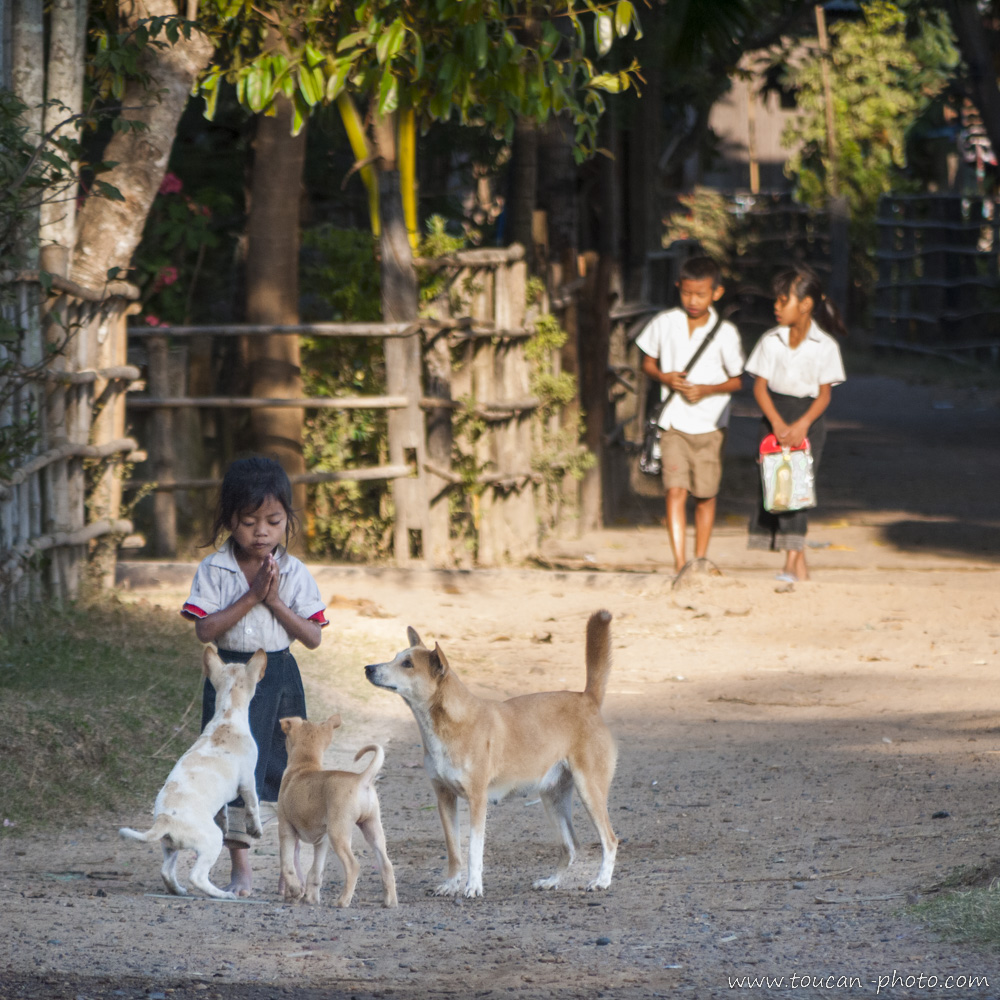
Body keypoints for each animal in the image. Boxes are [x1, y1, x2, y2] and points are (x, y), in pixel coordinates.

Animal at [119, 644, 268, 904]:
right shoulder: (248, 781)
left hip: (170, 847)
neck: (226, 717)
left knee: (166, 871)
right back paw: (223, 894)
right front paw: (256, 830)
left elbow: (223, 811)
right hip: (210, 842)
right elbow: (253, 806)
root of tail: (165, 819)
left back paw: (177, 891)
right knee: (197, 876)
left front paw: (226, 821)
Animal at [278, 716, 398, 912]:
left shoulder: (286, 830)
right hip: (373, 830)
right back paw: (390, 902)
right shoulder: (321, 841)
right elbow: (315, 872)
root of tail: (361, 779)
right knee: (387, 865)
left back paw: (342, 901)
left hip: (339, 834)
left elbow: (287, 865)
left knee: (353, 866)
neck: (304, 764)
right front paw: (310, 899)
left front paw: (295, 891)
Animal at [364, 608, 620, 900]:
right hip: (553, 798)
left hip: (590, 790)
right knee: (571, 847)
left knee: (610, 840)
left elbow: (474, 851)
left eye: (407, 664)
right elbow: (454, 850)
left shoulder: (478, 799)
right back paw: (552, 881)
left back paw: (601, 881)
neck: (447, 725)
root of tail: (587, 698)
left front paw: (473, 886)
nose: (368, 668)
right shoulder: (444, 798)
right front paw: (451, 883)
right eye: (396, 657)